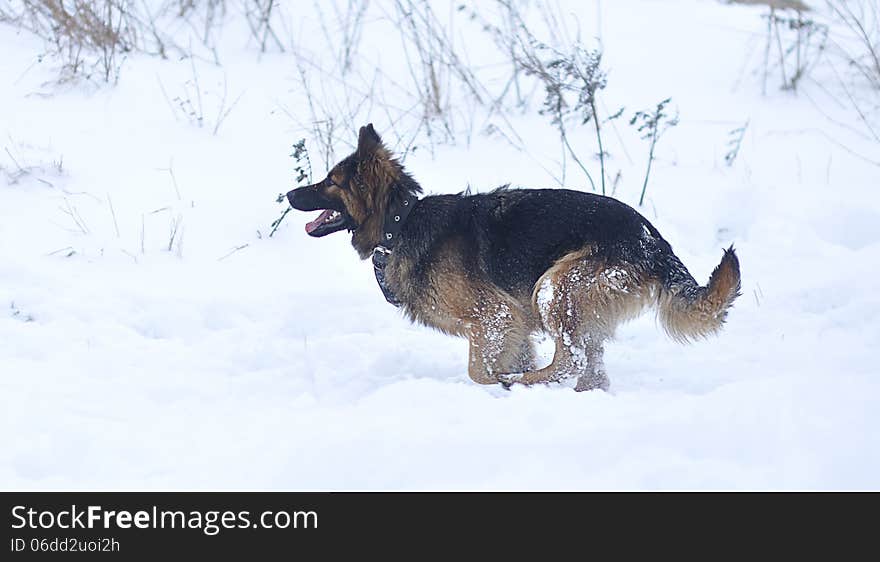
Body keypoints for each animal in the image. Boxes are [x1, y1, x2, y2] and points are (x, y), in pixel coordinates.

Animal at [286, 125, 740, 392]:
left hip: (556, 287)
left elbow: (478, 369)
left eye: (330, 182)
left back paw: (523, 381)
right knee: (591, 368)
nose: (289, 194)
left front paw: (495, 383)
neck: (402, 221)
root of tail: (653, 240)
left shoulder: (495, 315)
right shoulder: (514, 325)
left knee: (570, 359)